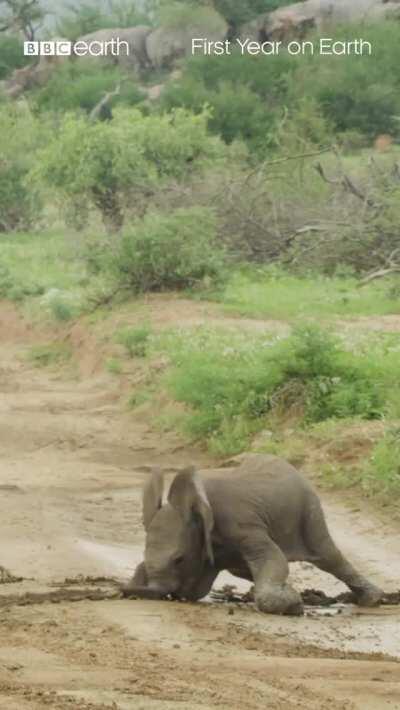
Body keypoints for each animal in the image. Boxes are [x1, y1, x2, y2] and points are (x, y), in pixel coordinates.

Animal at [123, 454, 383, 615]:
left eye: (179, 559)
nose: (119, 592)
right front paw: (293, 600)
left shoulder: (241, 524)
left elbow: (273, 558)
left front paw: (293, 606)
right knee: (243, 570)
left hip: (309, 510)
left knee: (328, 556)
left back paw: (373, 600)